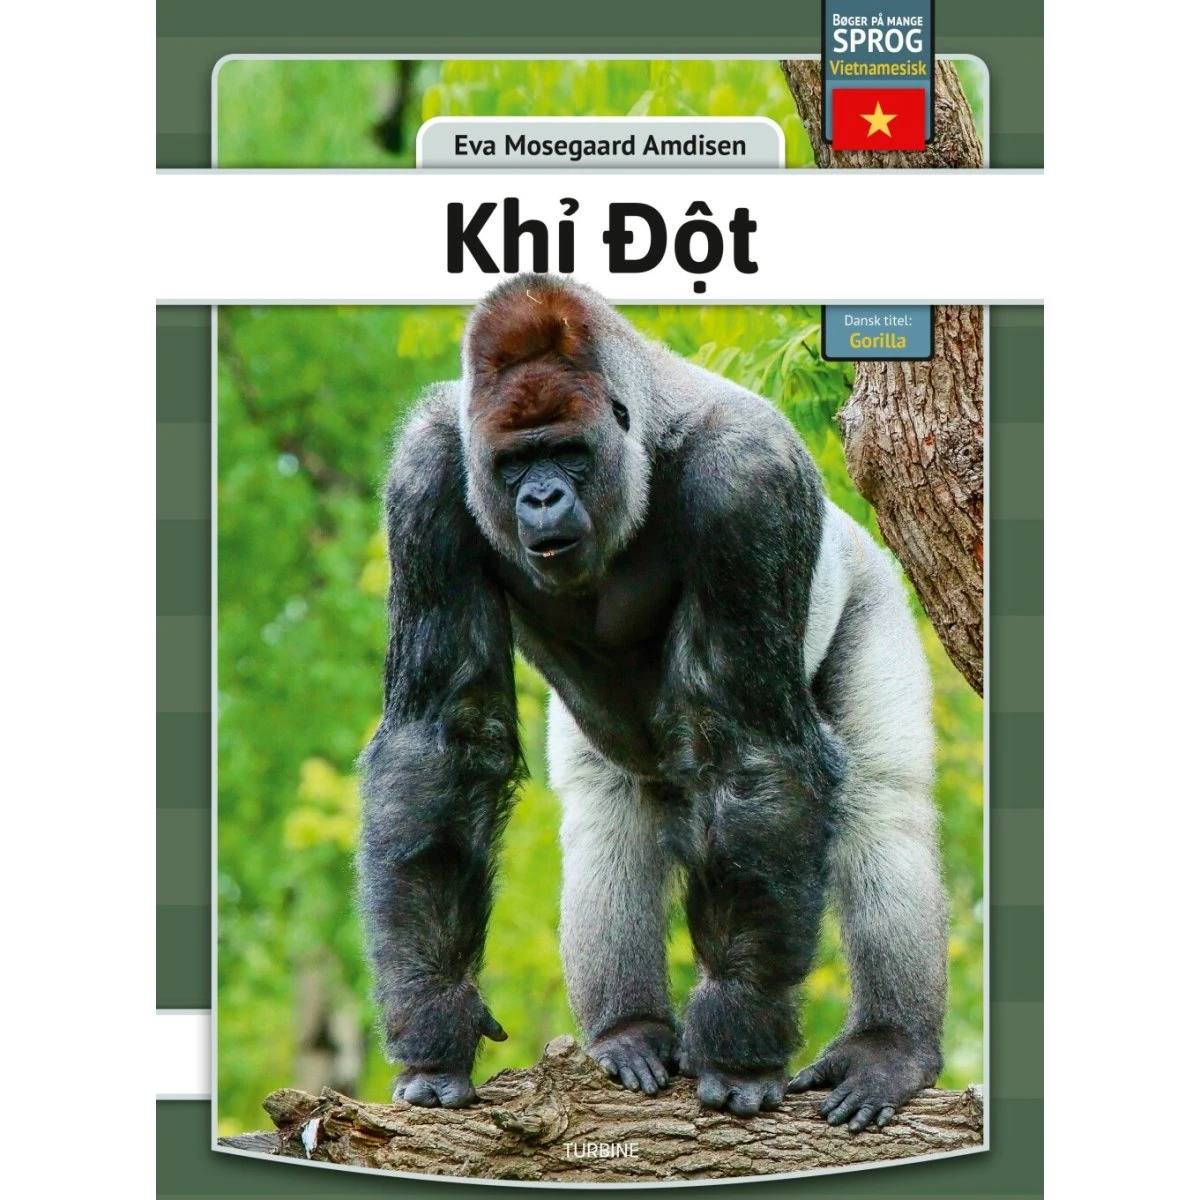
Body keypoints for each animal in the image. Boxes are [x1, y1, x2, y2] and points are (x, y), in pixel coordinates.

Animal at [357, 275, 948, 1129]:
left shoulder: (751, 479)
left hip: (868, 581)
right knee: (608, 818)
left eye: (568, 453)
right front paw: (436, 1022)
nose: (541, 498)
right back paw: (627, 1031)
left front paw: (738, 1042)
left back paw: (888, 1047)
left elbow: (751, 752)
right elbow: (440, 743)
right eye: (514, 463)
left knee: (882, 806)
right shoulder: (428, 474)